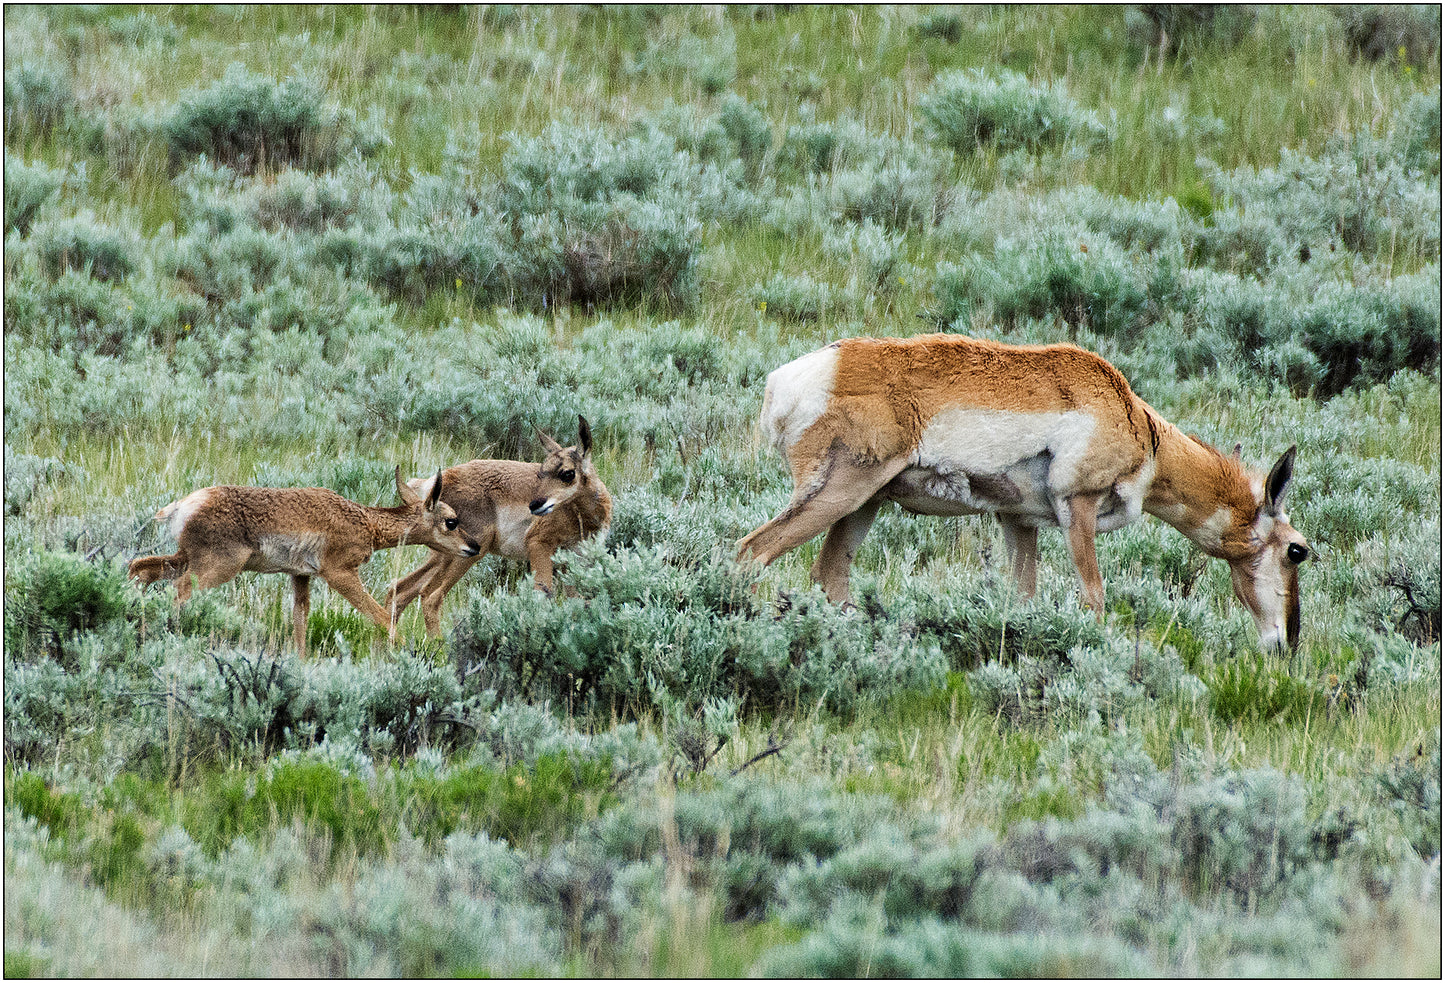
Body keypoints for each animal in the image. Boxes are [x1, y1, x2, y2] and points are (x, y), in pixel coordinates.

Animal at [128, 467, 481, 657]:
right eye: (451, 521)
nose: (474, 546)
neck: (364, 521)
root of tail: (184, 505)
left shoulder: (300, 576)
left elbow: (300, 622)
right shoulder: (339, 574)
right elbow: (380, 615)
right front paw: (412, 652)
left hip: (185, 558)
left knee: (140, 568)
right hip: (217, 567)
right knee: (178, 591)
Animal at [383, 415, 612, 635]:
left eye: (568, 473)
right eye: (541, 473)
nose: (535, 504)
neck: (583, 517)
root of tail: (434, 483)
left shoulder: (576, 562)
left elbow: (577, 604)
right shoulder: (539, 545)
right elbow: (540, 598)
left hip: (442, 555)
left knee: (400, 589)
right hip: (467, 554)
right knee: (430, 596)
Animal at [737, 334, 1311, 651]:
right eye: (1298, 551)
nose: (1288, 644)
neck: (1140, 426)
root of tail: (791, 378)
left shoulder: (1019, 523)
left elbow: (1024, 598)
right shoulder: (1077, 509)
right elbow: (1094, 597)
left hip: (863, 505)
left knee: (829, 577)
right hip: (837, 495)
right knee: (751, 552)